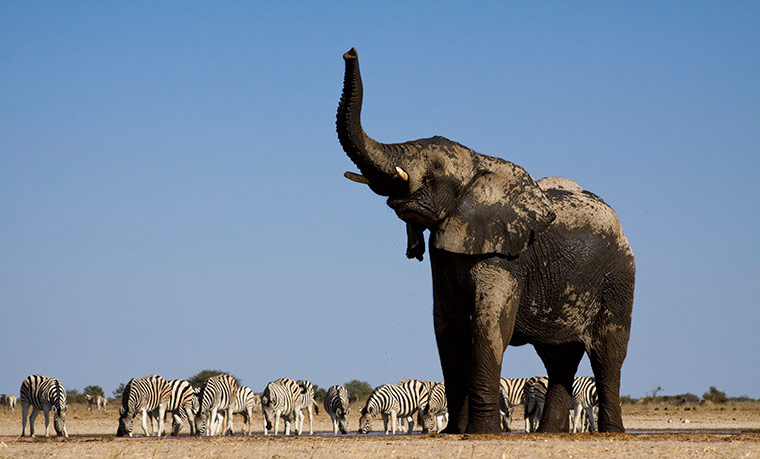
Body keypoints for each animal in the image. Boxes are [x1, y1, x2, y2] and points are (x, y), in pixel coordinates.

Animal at [335, 48, 635, 434]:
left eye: (435, 170)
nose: (350, 52)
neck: (480, 161)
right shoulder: (445, 250)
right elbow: (448, 327)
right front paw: (453, 432)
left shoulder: (507, 255)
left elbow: (489, 323)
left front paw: (480, 431)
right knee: (559, 358)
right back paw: (549, 432)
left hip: (618, 275)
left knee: (608, 351)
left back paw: (610, 430)